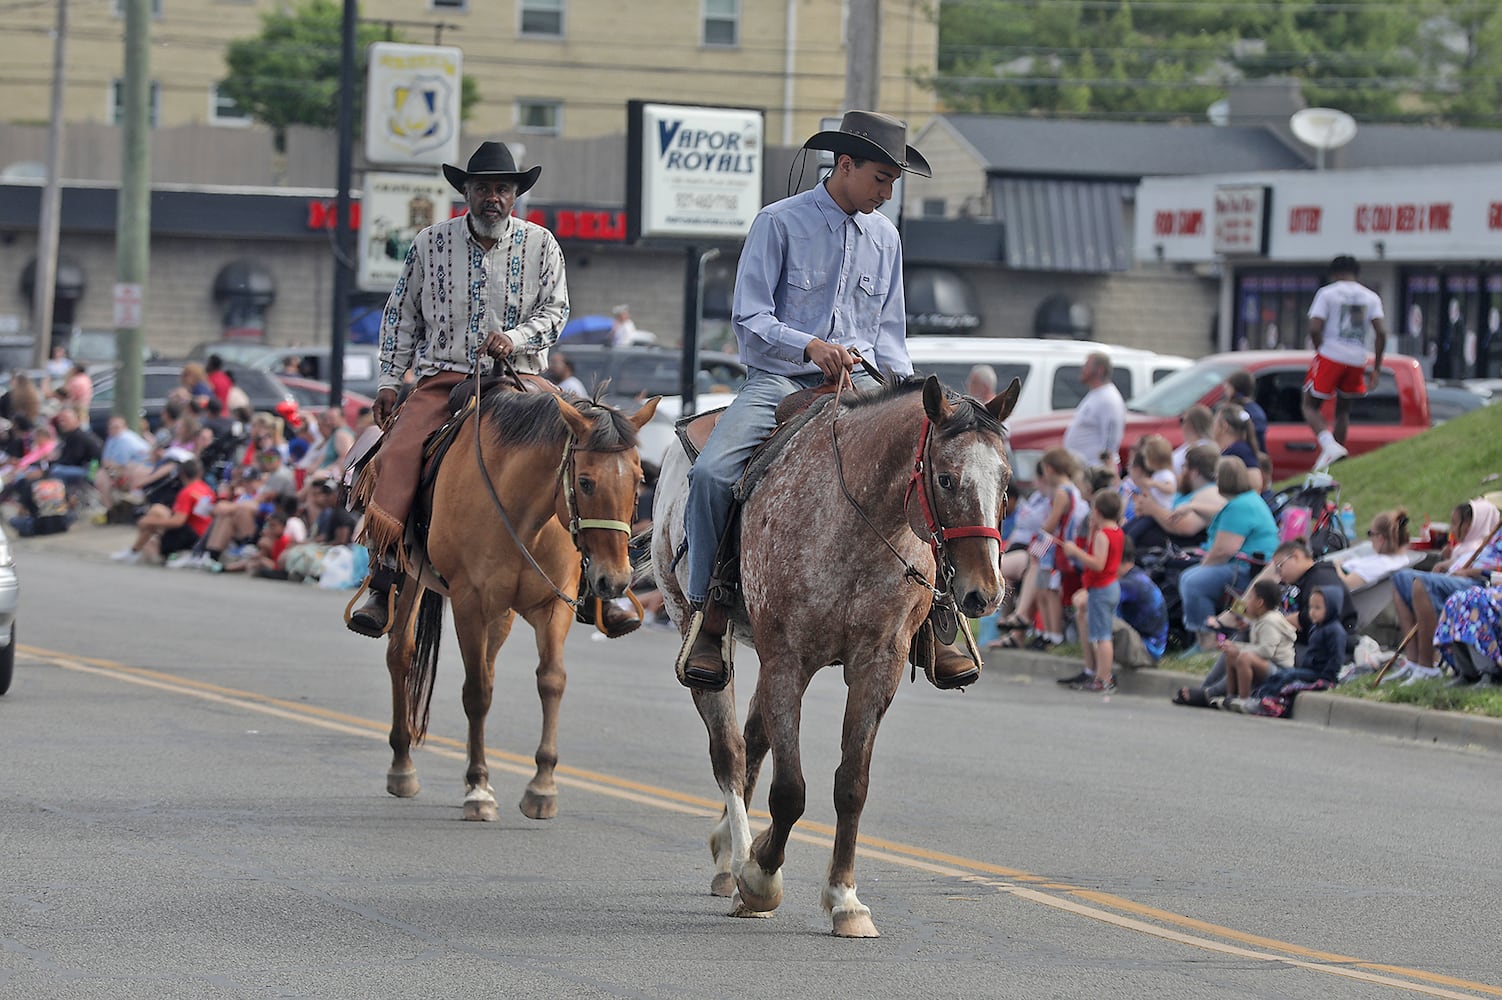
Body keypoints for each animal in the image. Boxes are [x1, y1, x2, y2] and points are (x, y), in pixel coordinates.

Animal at [381, 387, 657, 816]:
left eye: (640, 480)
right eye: (585, 482)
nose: (614, 580)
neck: (524, 514)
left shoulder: (552, 606)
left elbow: (551, 680)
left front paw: (542, 786)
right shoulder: (469, 602)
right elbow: (476, 692)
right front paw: (479, 788)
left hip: (502, 613)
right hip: (413, 576)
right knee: (402, 654)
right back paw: (402, 766)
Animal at [648, 373, 1021, 936]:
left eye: (1006, 482)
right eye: (946, 478)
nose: (986, 592)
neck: (856, 521)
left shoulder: (878, 667)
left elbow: (851, 786)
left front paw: (845, 899)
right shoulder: (788, 660)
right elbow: (790, 790)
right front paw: (761, 878)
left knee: (755, 738)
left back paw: (733, 850)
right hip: (697, 630)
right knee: (730, 751)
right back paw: (736, 861)